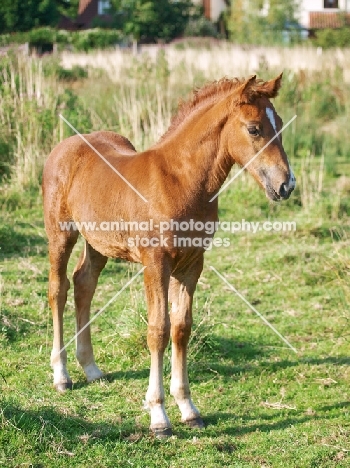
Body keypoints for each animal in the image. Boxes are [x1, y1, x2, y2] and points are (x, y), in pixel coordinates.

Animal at [43, 75, 296, 436]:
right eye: (254, 129)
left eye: (280, 125)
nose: (286, 185)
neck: (181, 182)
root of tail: (65, 145)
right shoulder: (155, 264)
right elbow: (158, 331)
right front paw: (159, 415)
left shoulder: (192, 264)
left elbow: (181, 328)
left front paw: (188, 409)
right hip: (60, 233)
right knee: (58, 288)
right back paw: (61, 375)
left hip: (98, 242)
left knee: (84, 284)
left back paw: (90, 368)